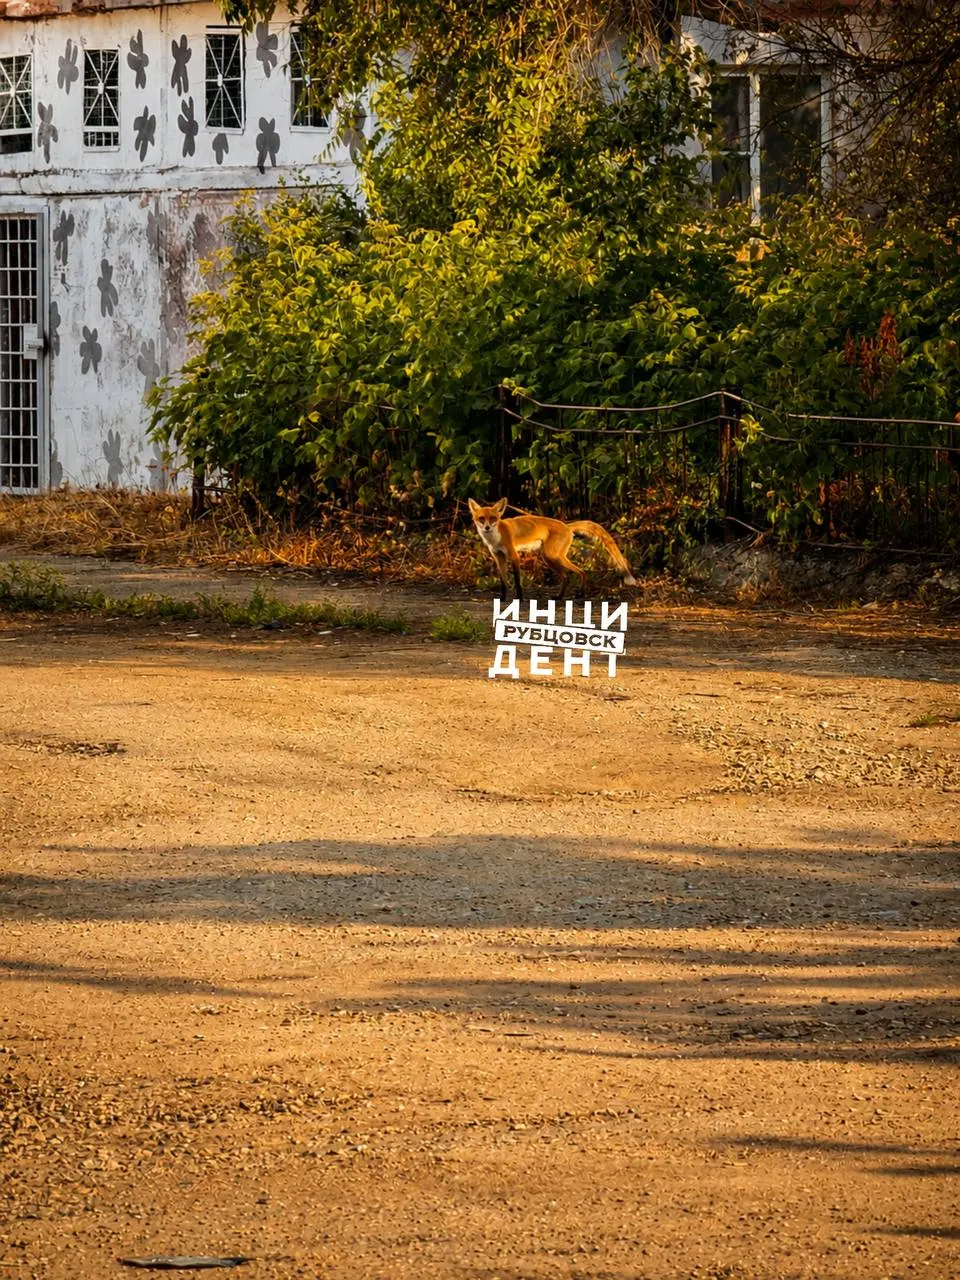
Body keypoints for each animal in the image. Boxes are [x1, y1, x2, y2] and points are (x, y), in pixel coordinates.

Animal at [468, 497, 637, 601]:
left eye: (493, 518)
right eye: (481, 519)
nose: (487, 527)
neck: (495, 538)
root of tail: (566, 525)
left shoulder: (514, 556)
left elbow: (517, 581)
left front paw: (520, 598)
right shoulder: (499, 558)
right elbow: (503, 581)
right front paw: (502, 599)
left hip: (552, 556)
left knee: (581, 571)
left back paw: (581, 594)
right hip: (549, 558)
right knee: (566, 577)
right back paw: (559, 597)